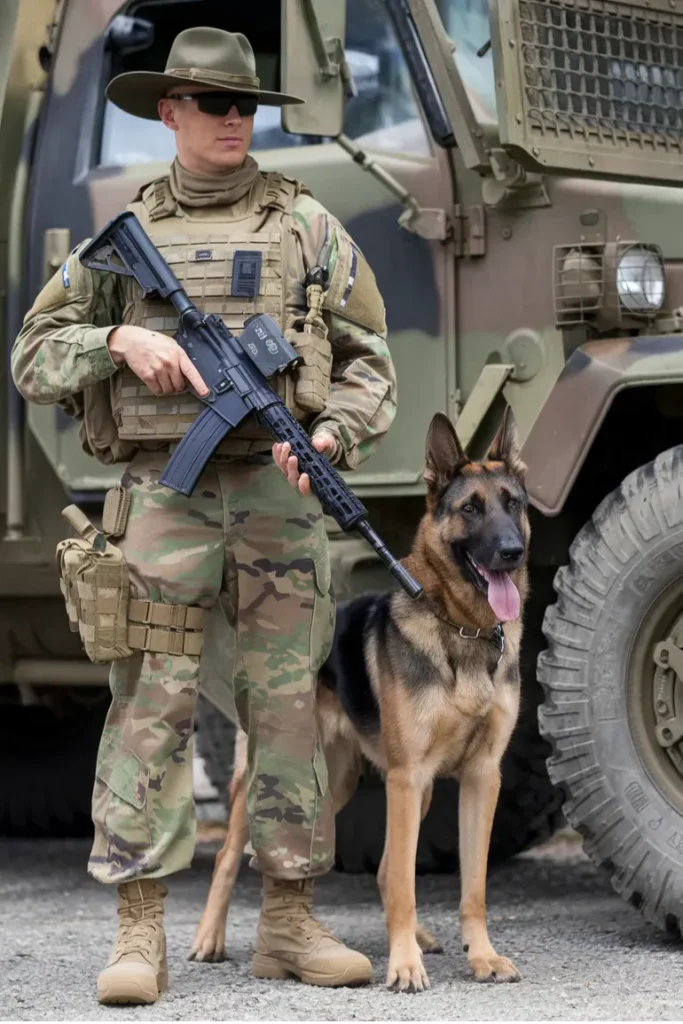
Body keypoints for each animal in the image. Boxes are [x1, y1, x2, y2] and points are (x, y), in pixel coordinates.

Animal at [189, 407, 532, 991]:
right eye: (470, 508)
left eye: (514, 504)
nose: (513, 552)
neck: (460, 629)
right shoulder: (407, 777)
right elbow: (405, 884)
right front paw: (403, 966)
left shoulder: (479, 779)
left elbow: (472, 886)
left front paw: (481, 955)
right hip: (289, 778)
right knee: (234, 856)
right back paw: (211, 937)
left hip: (355, 785)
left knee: (350, 860)